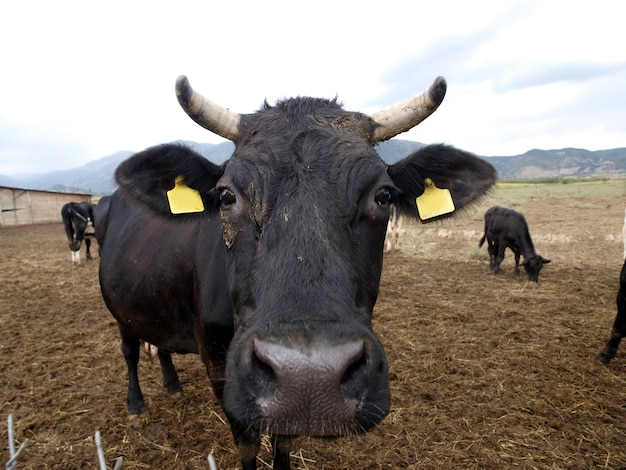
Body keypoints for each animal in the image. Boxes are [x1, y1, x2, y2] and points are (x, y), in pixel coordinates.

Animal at [97, 75, 494, 468]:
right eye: (226, 196)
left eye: (383, 195)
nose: (310, 380)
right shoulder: (219, 366)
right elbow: (247, 445)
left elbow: (284, 442)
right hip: (118, 305)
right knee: (129, 349)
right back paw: (136, 406)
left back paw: (173, 386)